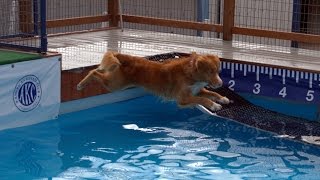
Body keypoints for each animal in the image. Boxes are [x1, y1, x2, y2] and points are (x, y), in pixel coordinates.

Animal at [79, 51, 231, 111]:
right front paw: (214, 105)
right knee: (93, 72)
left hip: (114, 81)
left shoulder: (197, 90)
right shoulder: (183, 98)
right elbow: (203, 99)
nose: (220, 83)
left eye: (218, 71)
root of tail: (124, 56)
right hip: (115, 85)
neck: (191, 74)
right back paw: (81, 84)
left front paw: (222, 98)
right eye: (210, 72)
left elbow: (211, 94)